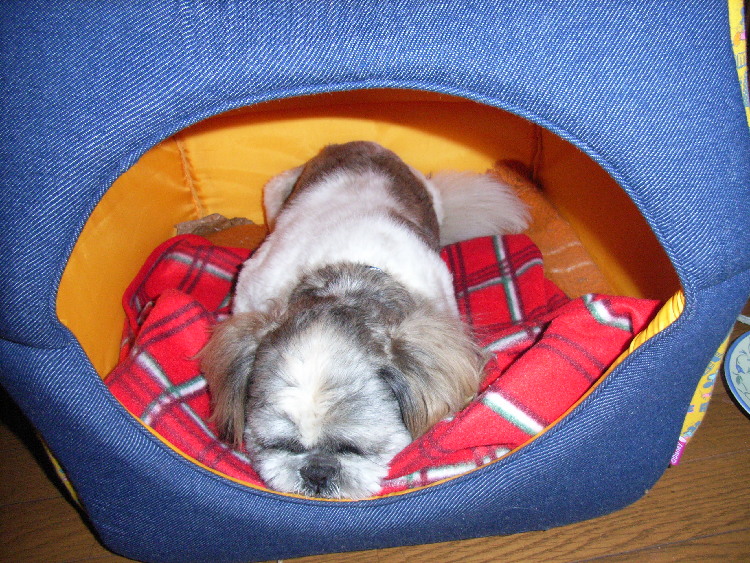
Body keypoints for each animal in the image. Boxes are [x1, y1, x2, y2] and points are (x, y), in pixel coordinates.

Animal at [200, 141, 528, 499]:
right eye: (279, 445)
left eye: (353, 449)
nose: (315, 472)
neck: (346, 281)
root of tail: (360, 143)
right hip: (276, 194)